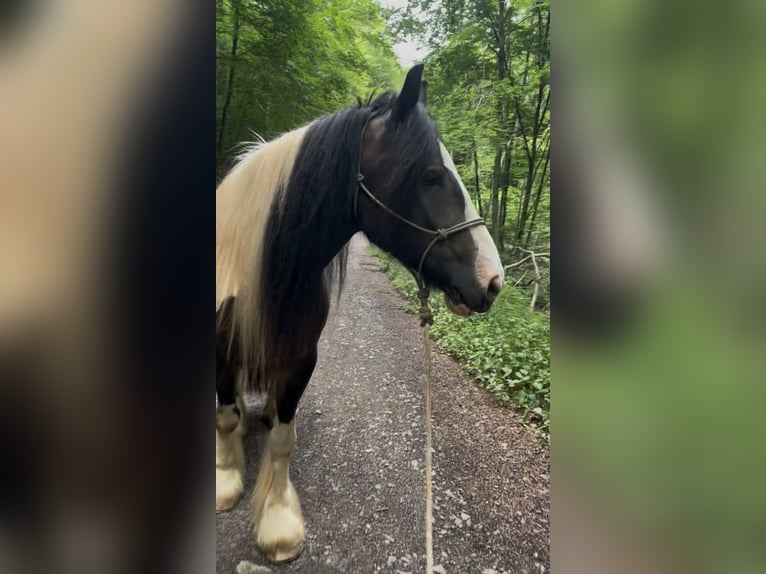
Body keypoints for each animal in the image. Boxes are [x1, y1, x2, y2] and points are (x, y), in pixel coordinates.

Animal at [215, 64, 504, 563]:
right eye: (431, 176)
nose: (492, 279)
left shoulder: (300, 359)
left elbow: (283, 439)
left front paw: (277, 522)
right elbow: (226, 417)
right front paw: (226, 481)